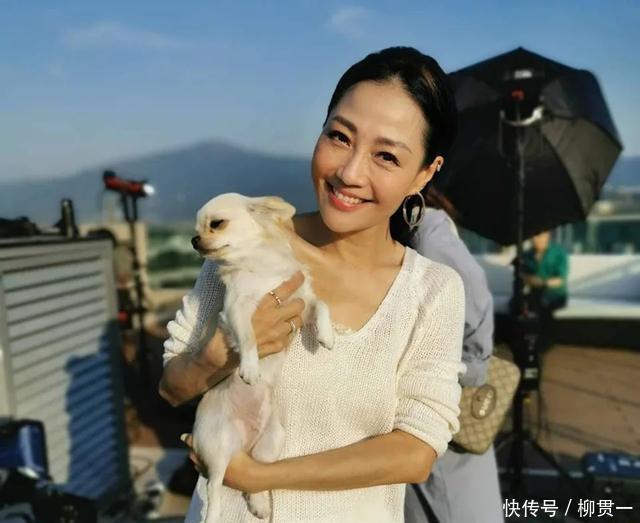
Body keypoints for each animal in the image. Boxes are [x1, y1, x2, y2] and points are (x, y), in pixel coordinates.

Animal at [190, 193, 334, 522]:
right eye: (197, 229)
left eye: (216, 224)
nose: (193, 240)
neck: (258, 268)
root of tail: (243, 443)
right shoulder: (237, 310)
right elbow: (249, 339)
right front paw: (250, 368)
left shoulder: (301, 303)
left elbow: (322, 305)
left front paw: (327, 335)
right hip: (218, 444)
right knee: (215, 485)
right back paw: (213, 514)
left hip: (271, 442)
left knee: (254, 478)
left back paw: (258, 504)